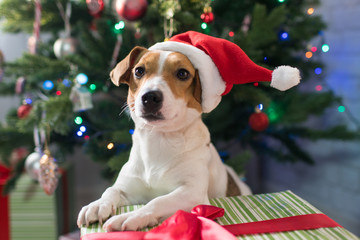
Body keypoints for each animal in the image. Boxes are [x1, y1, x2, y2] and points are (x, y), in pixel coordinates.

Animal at [76, 45, 250, 232]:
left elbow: (157, 201)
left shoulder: (193, 193)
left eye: (183, 73)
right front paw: (97, 204)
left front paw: (132, 216)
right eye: (139, 71)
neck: (158, 140)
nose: (150, 97)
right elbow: (111, 190)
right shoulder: (127, 186)